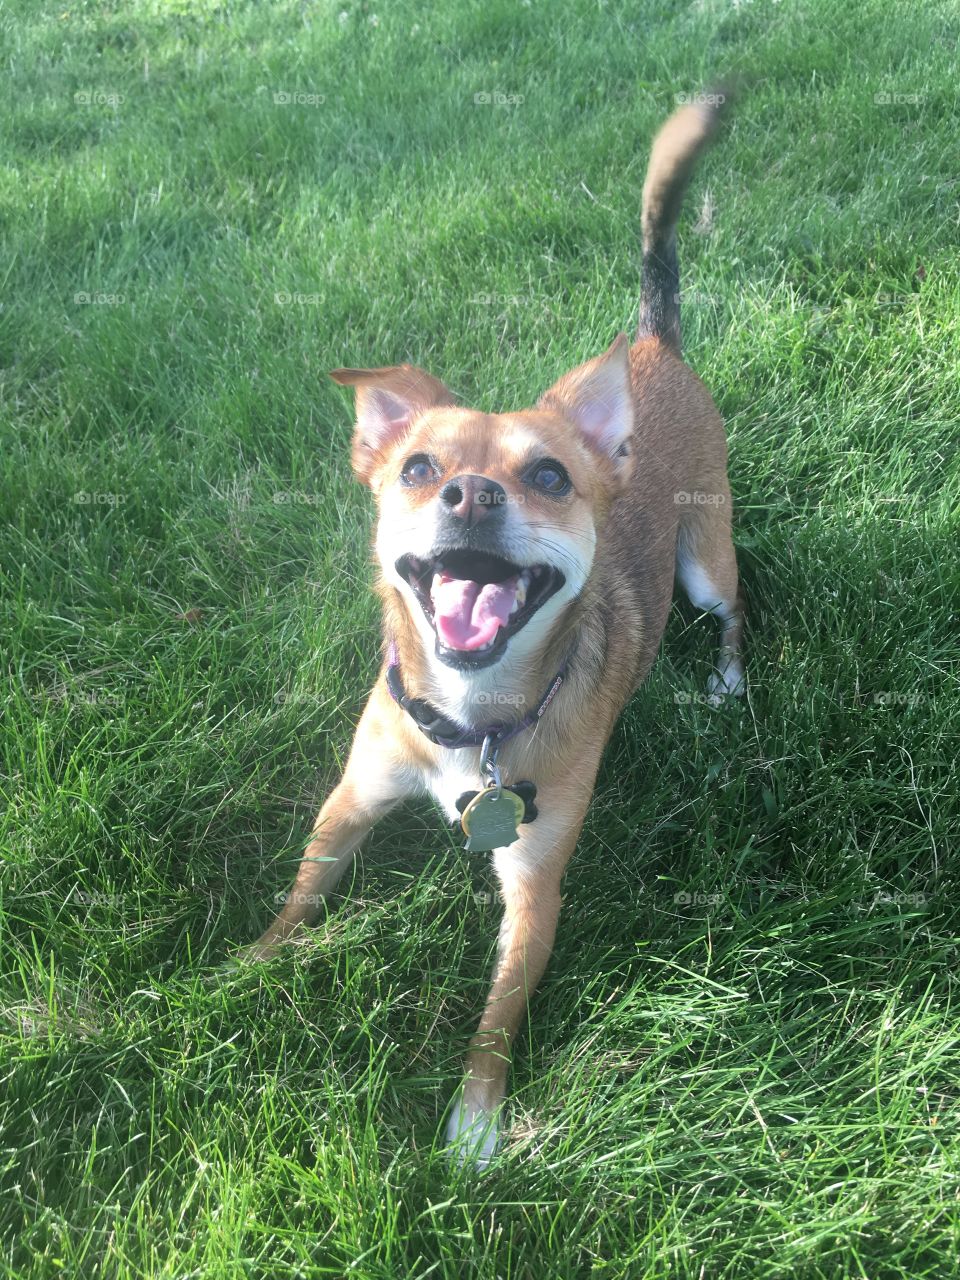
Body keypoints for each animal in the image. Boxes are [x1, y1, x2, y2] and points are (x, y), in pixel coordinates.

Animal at [248, 94, 742, 1167]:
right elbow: (301, 893)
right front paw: (244, 968)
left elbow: (499, 1013)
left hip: (707, 562)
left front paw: (475, 1126)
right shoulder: (350, 803)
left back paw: (730, 682)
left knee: (737, 613)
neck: (473, 716)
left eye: (549, 475)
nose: (472, 494)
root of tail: (654, 349)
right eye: (419, 468)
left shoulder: (534, 883)